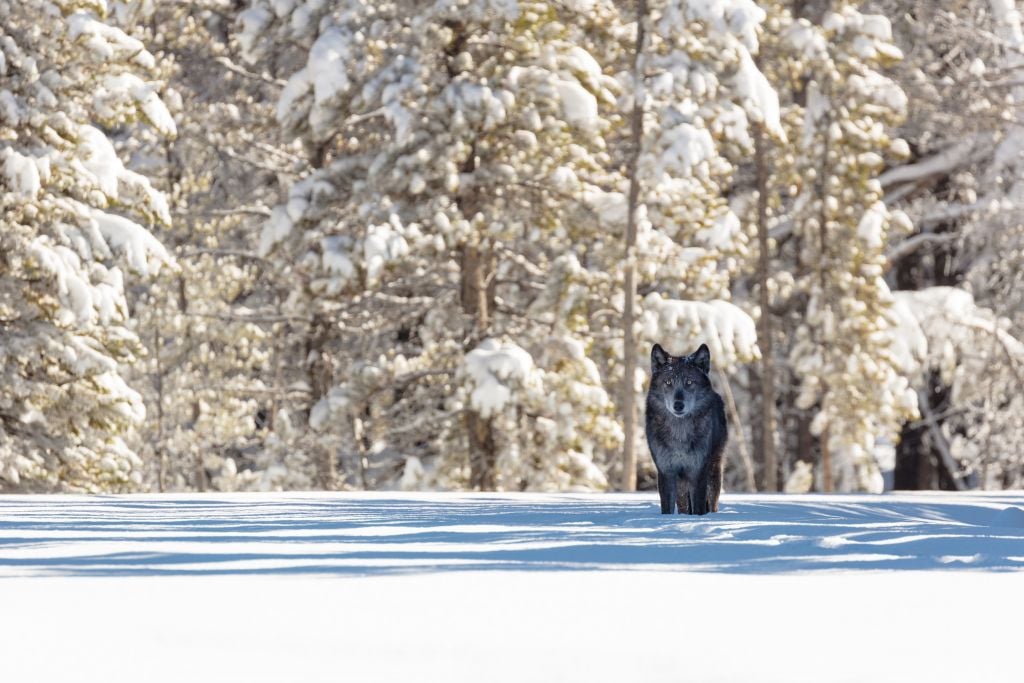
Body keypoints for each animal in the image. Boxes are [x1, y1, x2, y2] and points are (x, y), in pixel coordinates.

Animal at [647, 344, 729, 516]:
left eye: (689, 382)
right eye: (668, 382)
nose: (678, 405)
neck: (679, 433)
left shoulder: (698, 472)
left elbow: (698, 507)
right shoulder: (666, 472)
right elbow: (667, 508)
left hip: (713, 471)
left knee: (712, 503)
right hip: (682, 484)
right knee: (684, 506)